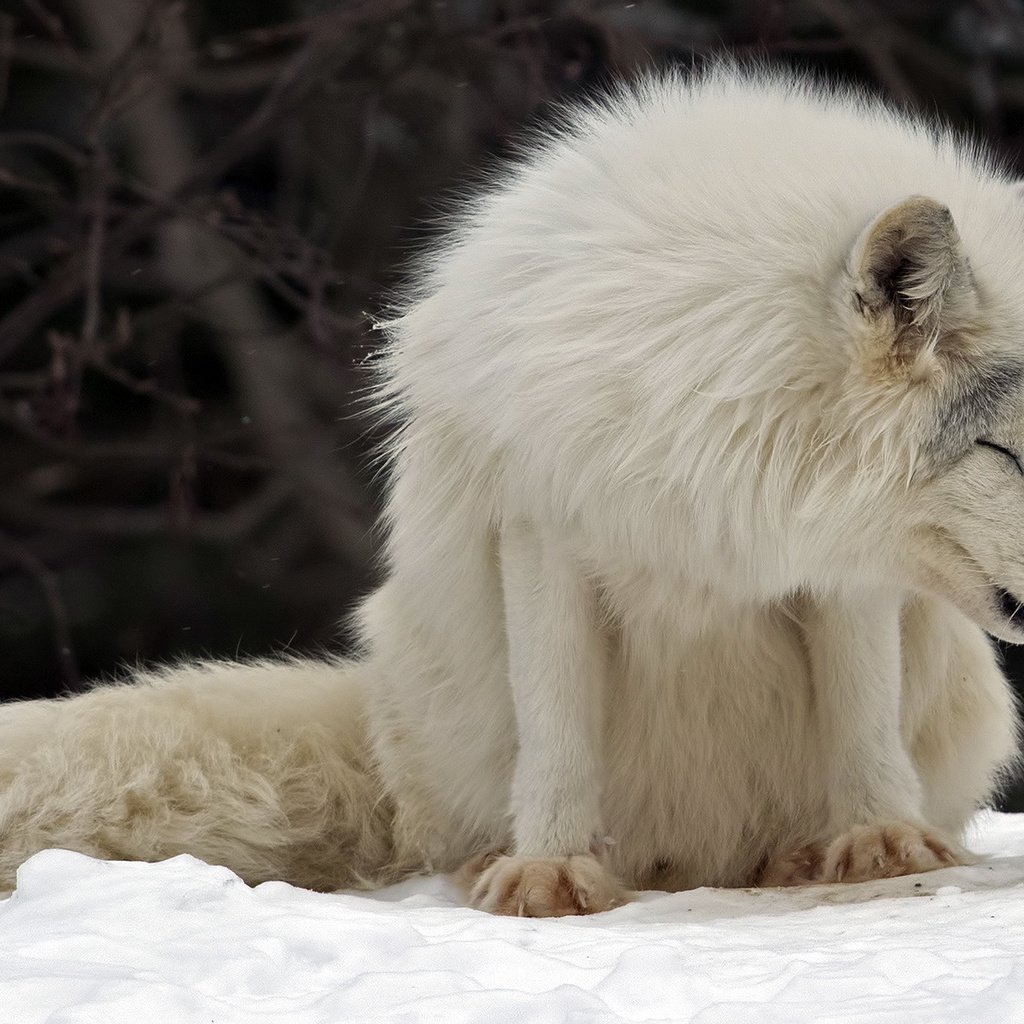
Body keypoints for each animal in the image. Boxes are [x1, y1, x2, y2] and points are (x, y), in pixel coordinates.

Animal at [2, 66, 1024, 913]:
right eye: (1008, 453)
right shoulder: (541, 527)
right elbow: (556, 724)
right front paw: (550, 870)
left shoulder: (836, 564)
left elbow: (862, 712)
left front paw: (879, 841)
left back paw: (794, 857)